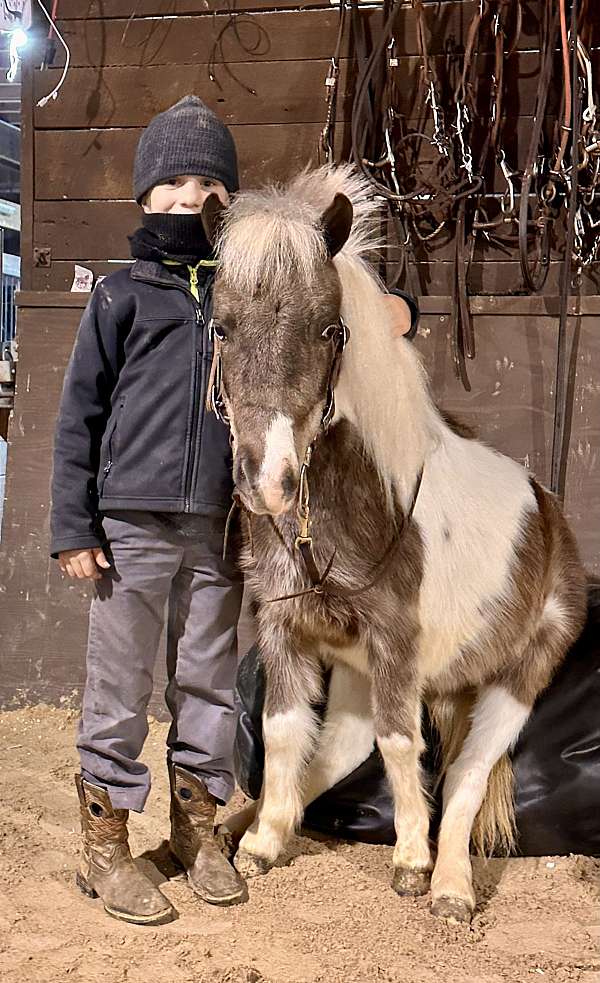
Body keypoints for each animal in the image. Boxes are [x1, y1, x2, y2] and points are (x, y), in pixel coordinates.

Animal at [203, 165, 584, 928]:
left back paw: (450, 887)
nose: (267, 481)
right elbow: (285, 731)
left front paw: (410, 861)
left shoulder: (396, 645)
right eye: (222, 327)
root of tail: (548, 509)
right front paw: (261, 842)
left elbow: (403, 742)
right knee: (339, 748)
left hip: (516, 677)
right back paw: (252, 824)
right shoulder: (288, 630)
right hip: (356, 671)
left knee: (465, 775)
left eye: (327, 329)